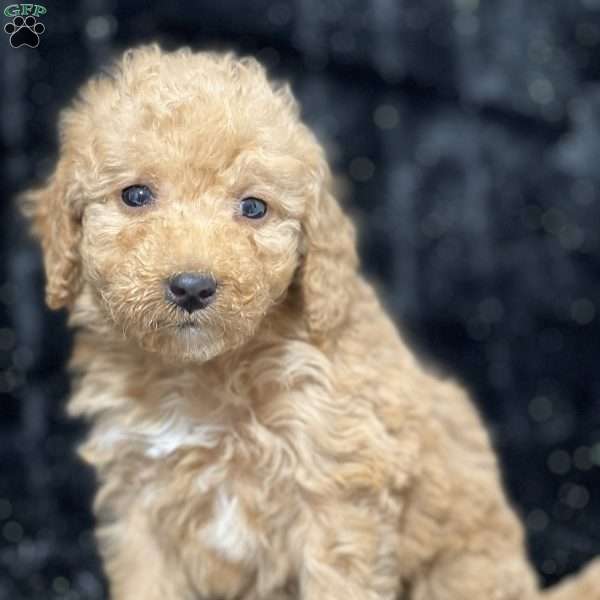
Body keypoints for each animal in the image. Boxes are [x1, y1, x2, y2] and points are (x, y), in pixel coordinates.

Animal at [23, 47, 600, 600]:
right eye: (136, 196)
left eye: (254, 207)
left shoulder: (338, 492)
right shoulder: (140, 496)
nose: (191, 286)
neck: (204, 371)